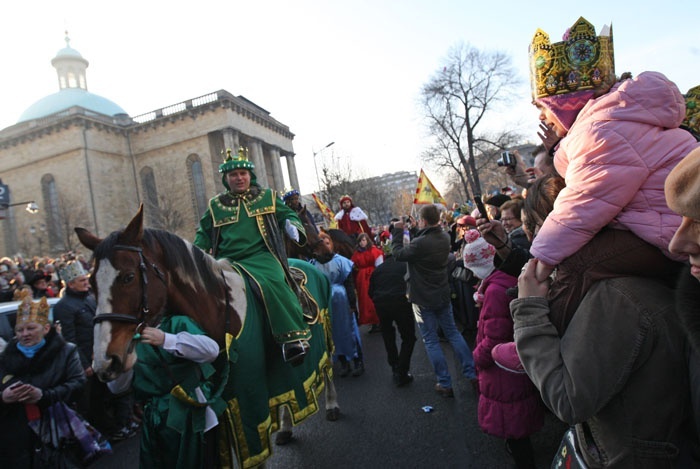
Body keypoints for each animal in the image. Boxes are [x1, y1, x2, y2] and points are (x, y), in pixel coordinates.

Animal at [76, 207, 340, 466]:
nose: (105, 361)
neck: (219, 306)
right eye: (92, 284)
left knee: (327, 368)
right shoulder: (220, 401)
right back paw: (286, 427)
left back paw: (331, 405)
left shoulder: (248, 393)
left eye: (128, 276)